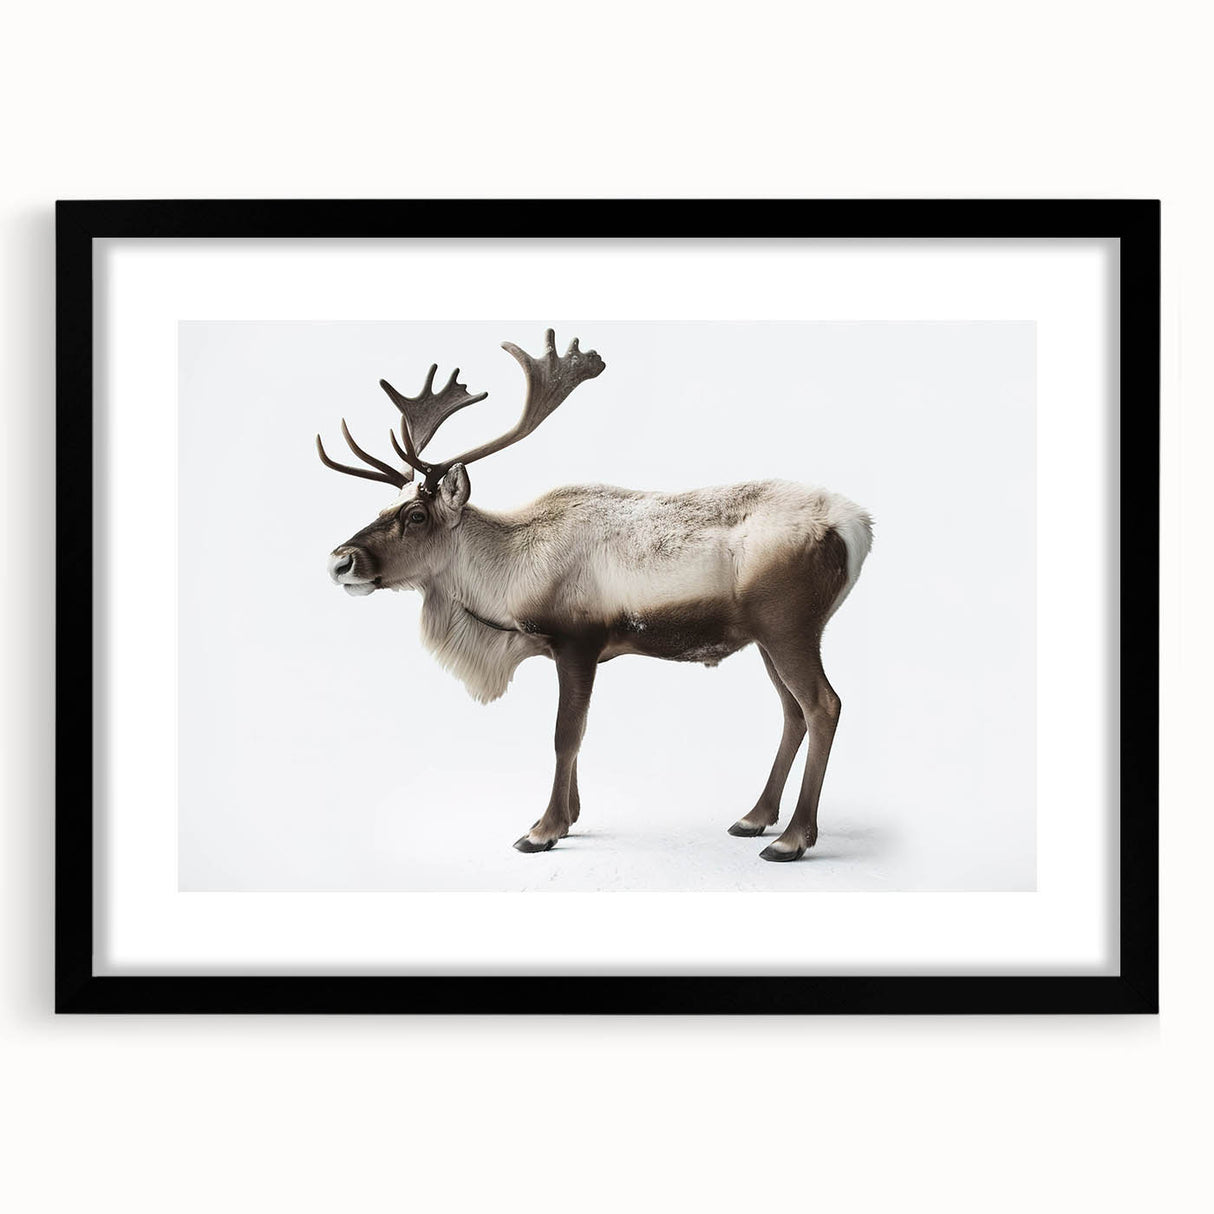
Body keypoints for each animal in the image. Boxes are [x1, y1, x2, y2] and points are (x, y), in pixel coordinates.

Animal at [318, 329, 873, 862]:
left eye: (416, 515)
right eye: (384, 507)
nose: (340, 560)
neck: (508, 575)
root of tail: (859, 526)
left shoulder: (577, 642)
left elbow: (565, 735)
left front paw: (542, 830)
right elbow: (578, 737)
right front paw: (570, 816)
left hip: (789, 626)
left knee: (823, 705)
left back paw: (792, 839)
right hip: (765, 637)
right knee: (792, 712)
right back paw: (755, 817)